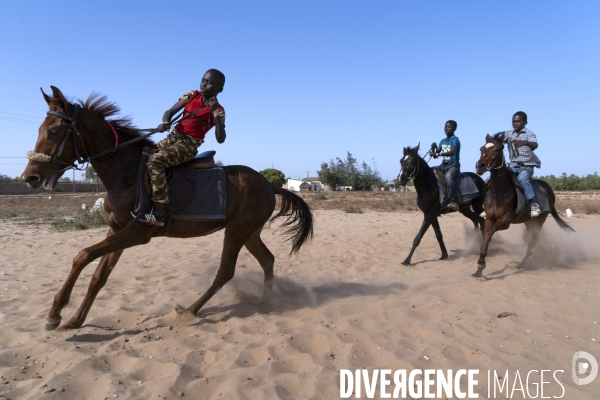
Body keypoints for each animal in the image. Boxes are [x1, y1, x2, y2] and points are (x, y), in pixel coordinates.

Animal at [21, 87, 314, 332]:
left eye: (54, 132)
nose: (29, 177)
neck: (126, 172)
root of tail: (268, 184)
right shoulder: (116, 230)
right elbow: (98, 276)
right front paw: (74, 319)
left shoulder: (138, 233)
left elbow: (82, 256)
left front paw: (55, 313)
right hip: (249, 232)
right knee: (267, 260)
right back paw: (266, 300)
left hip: (237, 232)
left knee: (226, 271)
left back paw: (191, 310)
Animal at [472, 133, 576, 276]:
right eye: (481, 149)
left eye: (496, 150)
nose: (480, 166)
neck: (498, 193)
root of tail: (549, 189)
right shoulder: (489, 218)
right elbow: (485, 237)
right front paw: (479, 269)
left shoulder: (505, 222)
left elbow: (489, 232)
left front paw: (481, 265)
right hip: (529, 222)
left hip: (539, 221)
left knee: (532, 243)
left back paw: (522, 264)